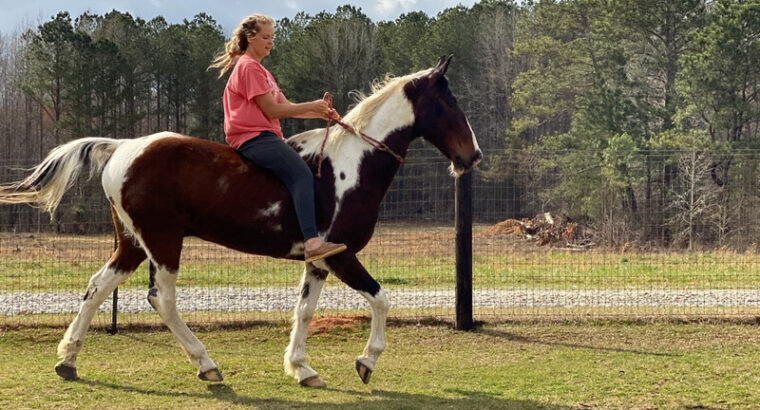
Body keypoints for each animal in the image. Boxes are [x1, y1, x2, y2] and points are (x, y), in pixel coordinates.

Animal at [0, 55, 480, 388]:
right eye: (447, 101)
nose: (471, 156)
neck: (351, 165)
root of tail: (122, 147)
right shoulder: (342, 257)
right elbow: (381, 300)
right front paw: (366, 362)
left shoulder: (318, 261)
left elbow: (305, 311)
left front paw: (301, 368)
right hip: (163, 242)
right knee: (162, 300)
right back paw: (207, 365)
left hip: (134, 244)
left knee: (98, 287)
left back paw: (68, 360)